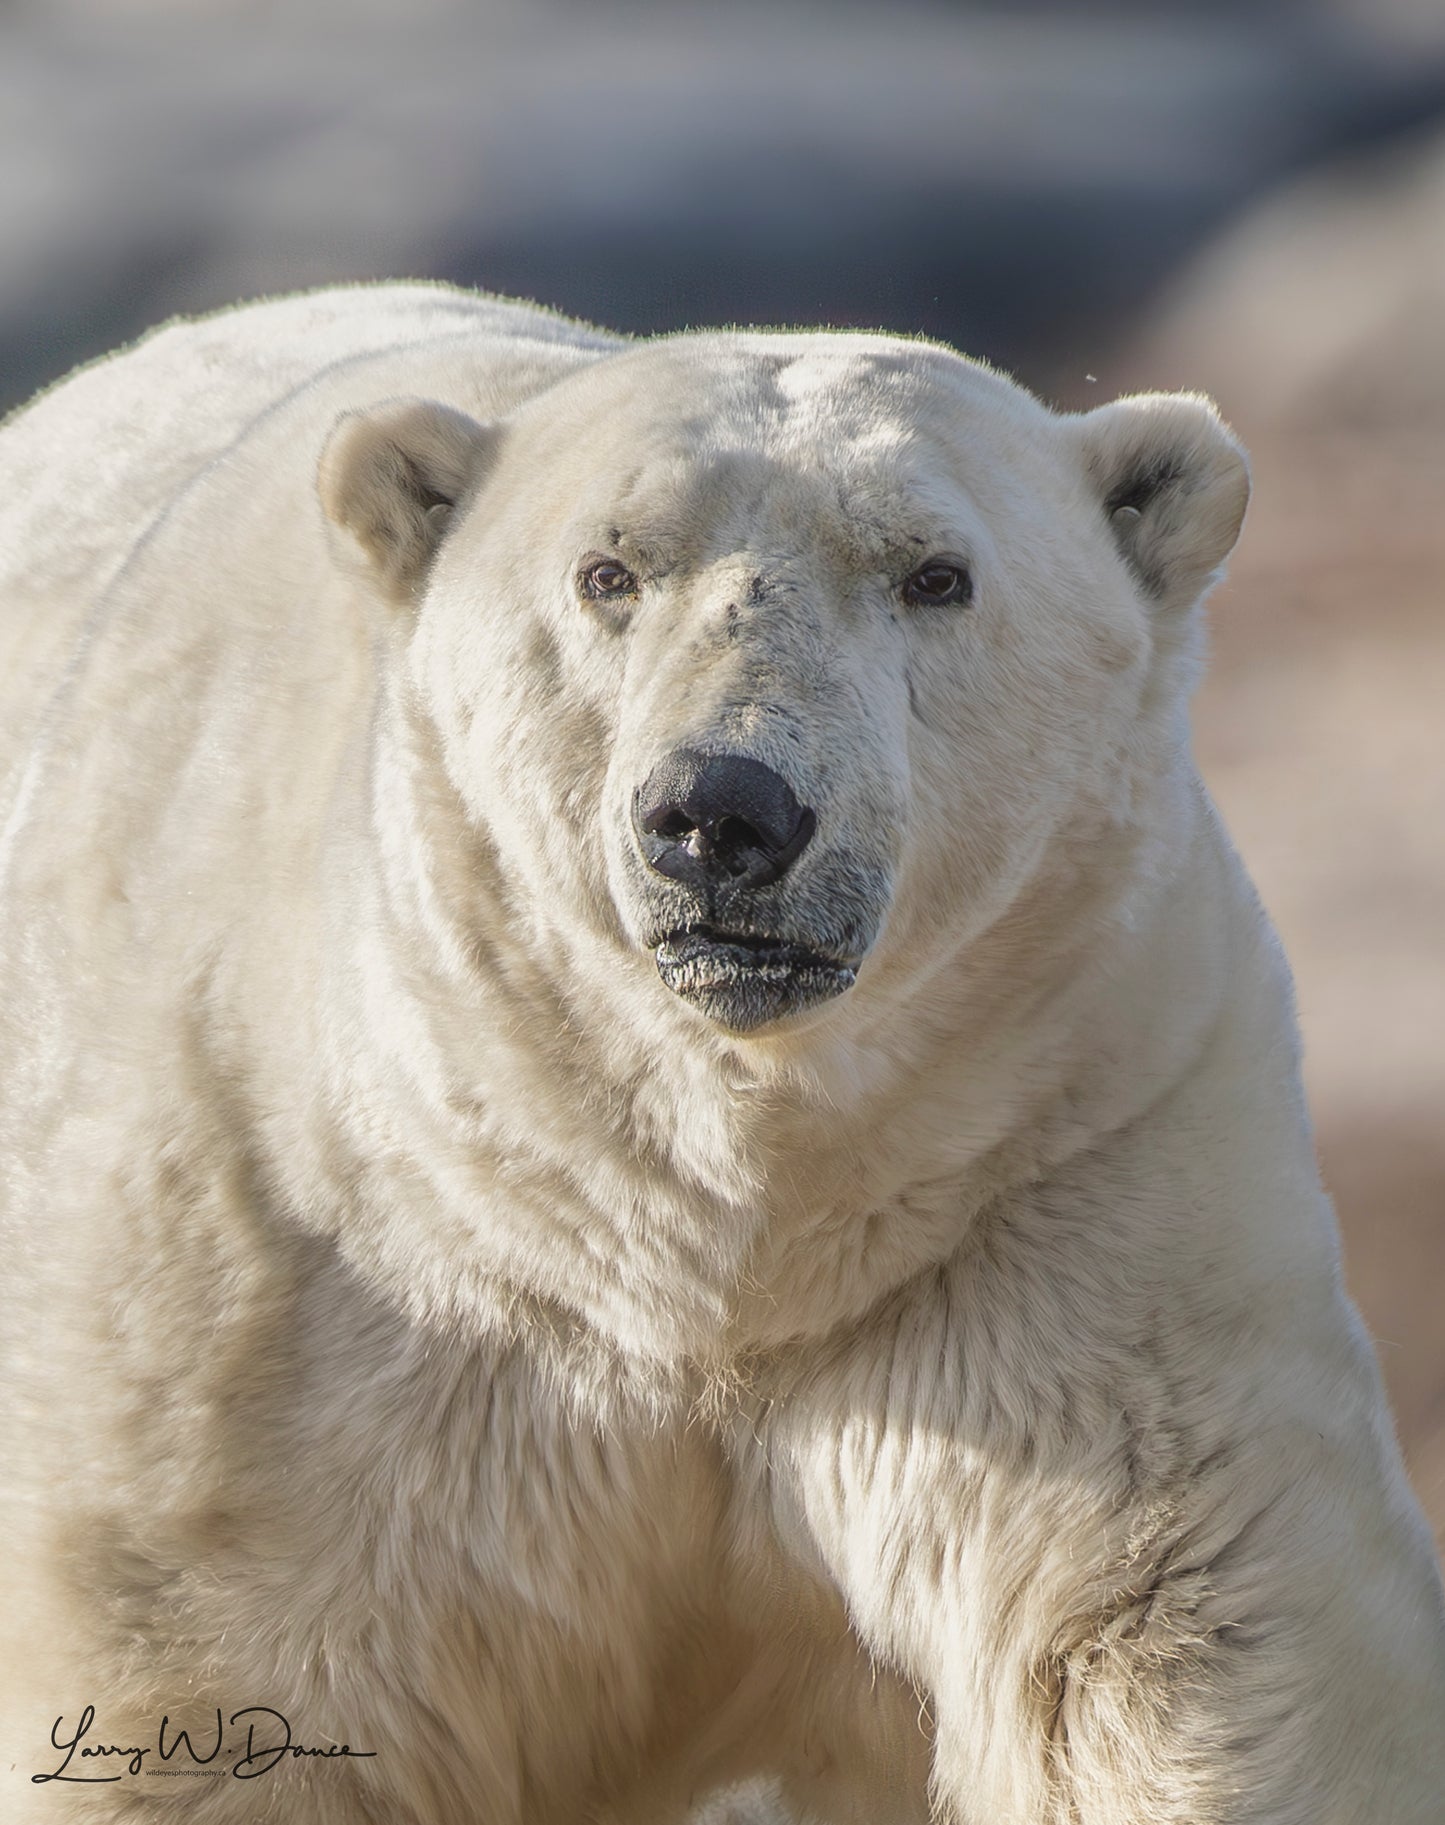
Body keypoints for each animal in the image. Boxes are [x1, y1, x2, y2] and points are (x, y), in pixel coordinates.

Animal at [1, 280, 1442, 1825]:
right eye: (607, 572)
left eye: (936, 574)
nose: (723, 810)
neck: (694, 1216)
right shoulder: (299, 1282)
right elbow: (215, 1695)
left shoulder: (1066, 1185)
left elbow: (1187, 1636)